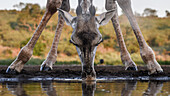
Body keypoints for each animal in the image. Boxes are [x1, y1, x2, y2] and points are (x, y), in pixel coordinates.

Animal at [6, 0, 163, 80]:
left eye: (99, 41)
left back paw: (128, 61)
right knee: (64, 7)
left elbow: (120, 3)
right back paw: (49, 61)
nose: (88, 74)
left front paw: (152, 63)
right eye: (73, 42)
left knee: (112, 6)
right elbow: (54, 5)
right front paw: (18, 62)